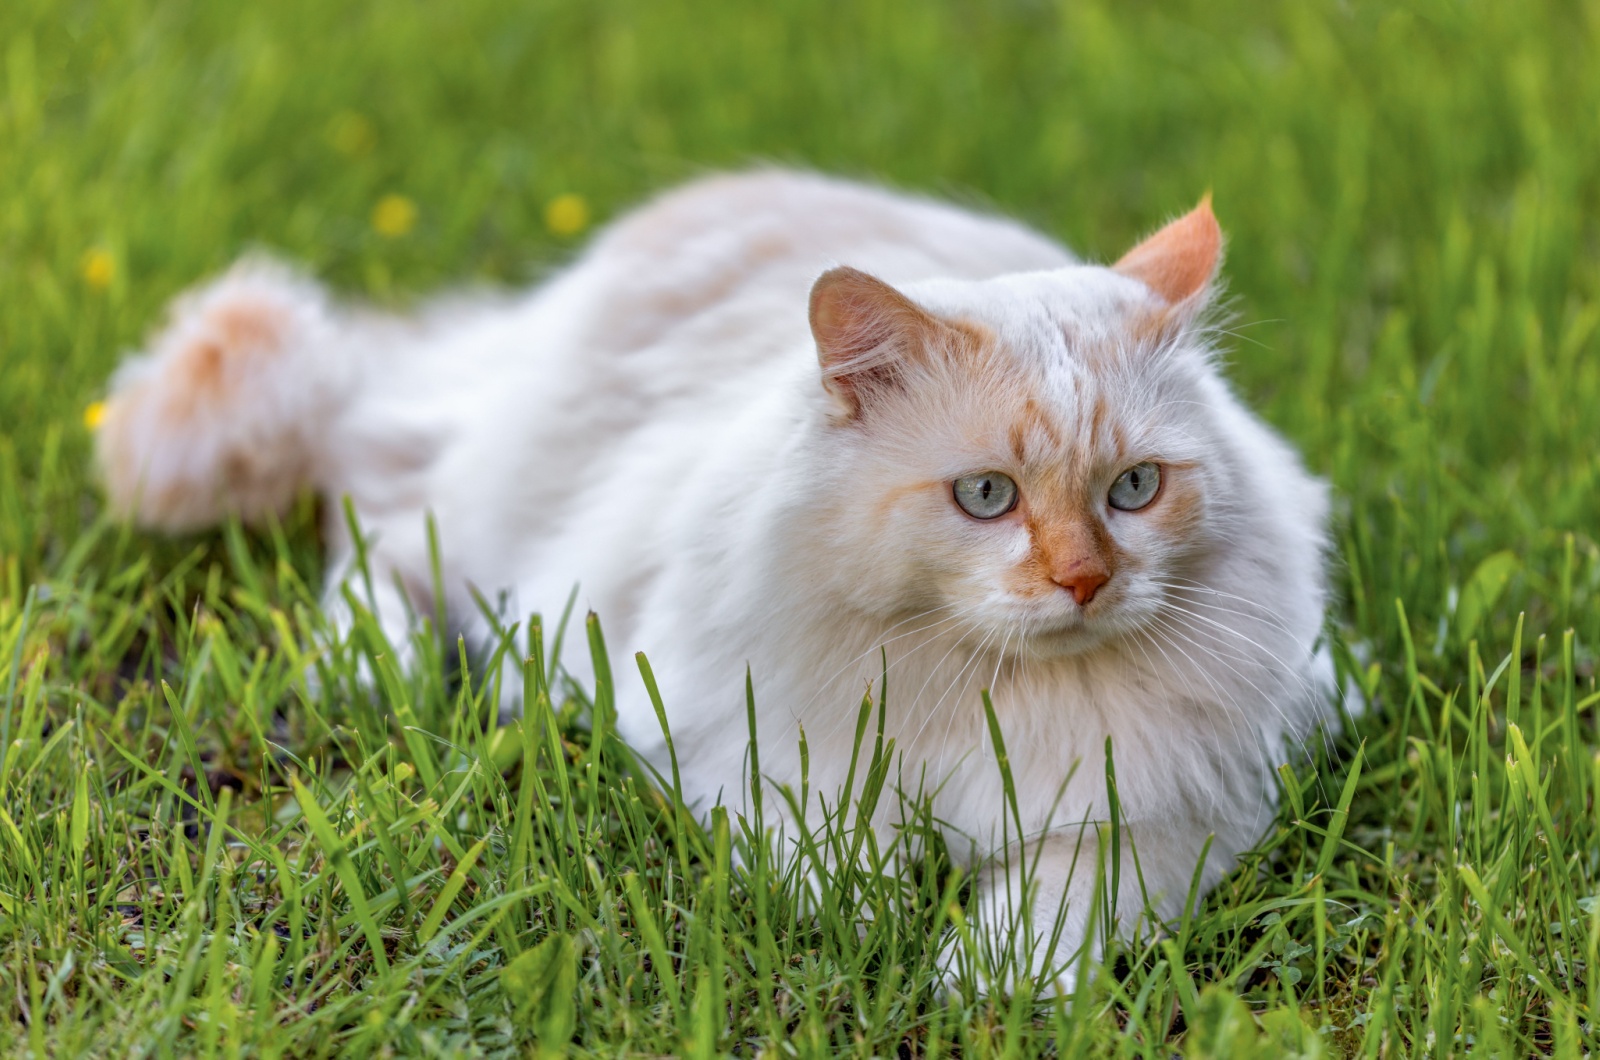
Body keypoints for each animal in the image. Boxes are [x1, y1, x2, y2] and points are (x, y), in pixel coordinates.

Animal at [90, 172, 1337, 999]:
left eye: (1133, 488)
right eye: (986, 496)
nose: (1083, 580)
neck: (991, 691)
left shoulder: (1171, 816)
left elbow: (1054, 911)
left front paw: (974, 978)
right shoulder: (747, 747)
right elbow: (834, 863)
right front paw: (877, 935)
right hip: (489, 521)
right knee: (375, 529)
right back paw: (369, 668)